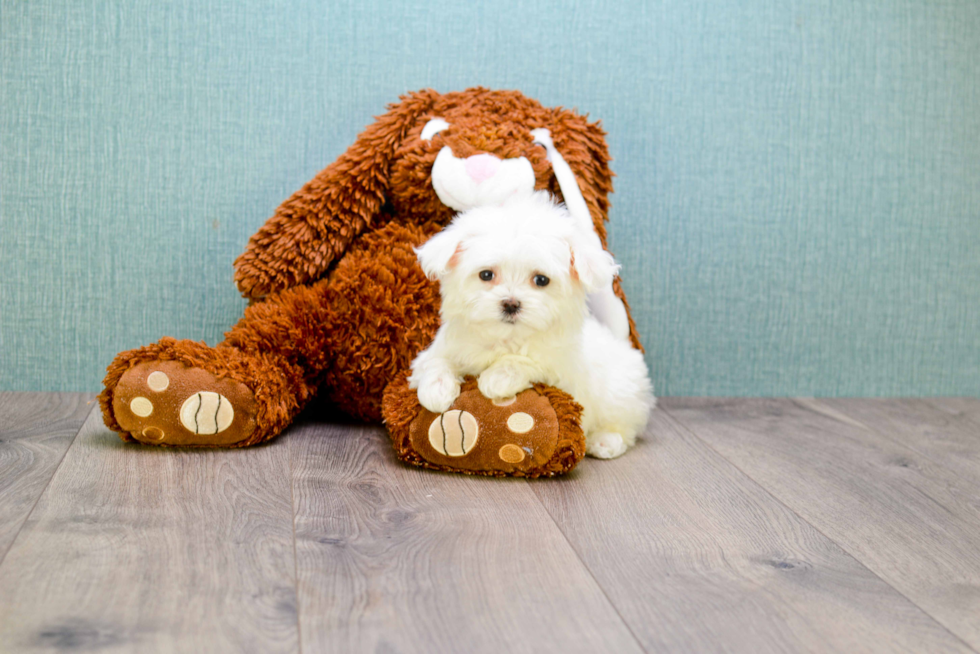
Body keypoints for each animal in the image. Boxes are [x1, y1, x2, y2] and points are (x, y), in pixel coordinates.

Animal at [410, 191, 656, 462]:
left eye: (541, 280)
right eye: (486, 275)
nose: (511, 303)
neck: (506, 338)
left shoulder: (562, 371)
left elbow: (531, 361)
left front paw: (497, 378)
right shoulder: (440, 349)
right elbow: (435, 361)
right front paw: (435, 390)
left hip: (621, 395)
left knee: (624, 426)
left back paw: (605, 441)